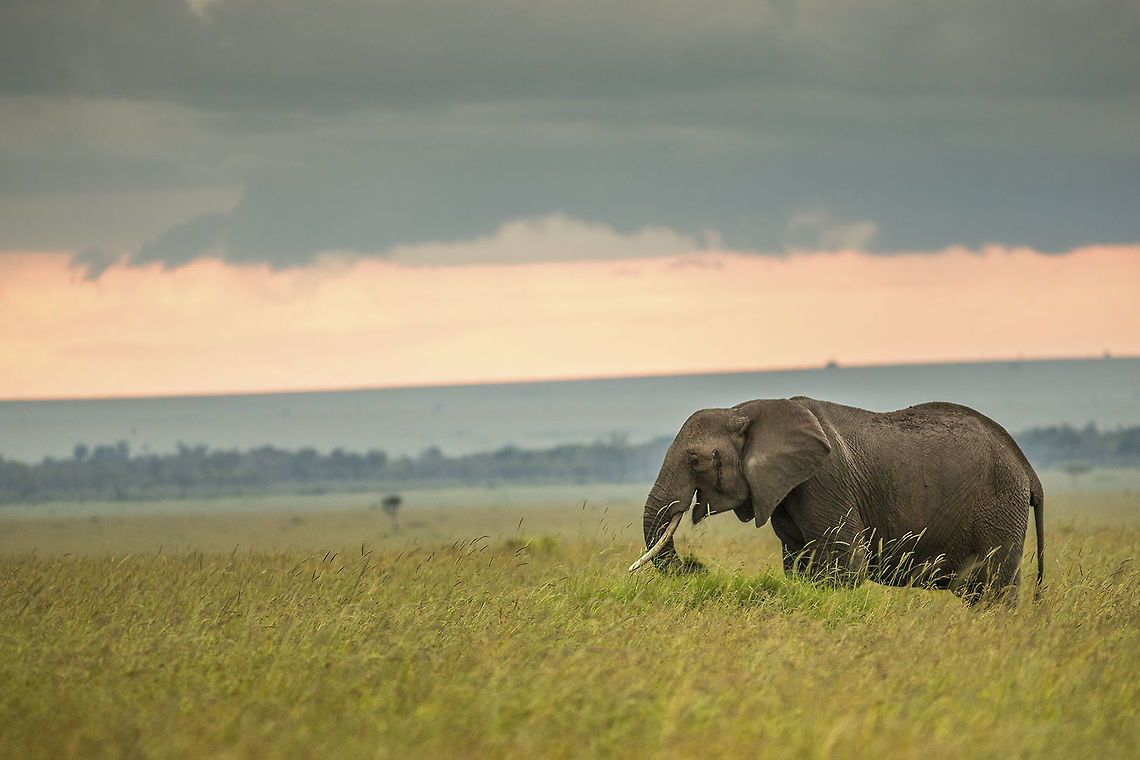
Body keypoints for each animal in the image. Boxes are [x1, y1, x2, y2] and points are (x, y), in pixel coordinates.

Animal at [630, 397, 1044, 604]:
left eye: (696, 461)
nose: (698, 568)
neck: (744, 410)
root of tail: (1028, 469)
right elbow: (799, 565)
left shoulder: (824, 479)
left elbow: (847, 566)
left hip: (1000, 506)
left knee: (993, 590)